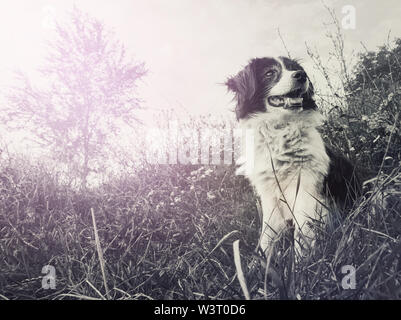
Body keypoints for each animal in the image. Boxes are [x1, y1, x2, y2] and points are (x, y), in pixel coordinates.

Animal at [225, 57, 360, 255]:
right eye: (269, 73)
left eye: (294, 68)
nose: (301, 75)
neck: (281, 132)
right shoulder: (270, 196)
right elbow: (267, 236)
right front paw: (262, 261)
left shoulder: (306, 189)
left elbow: (303, 234)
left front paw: (302, 261)